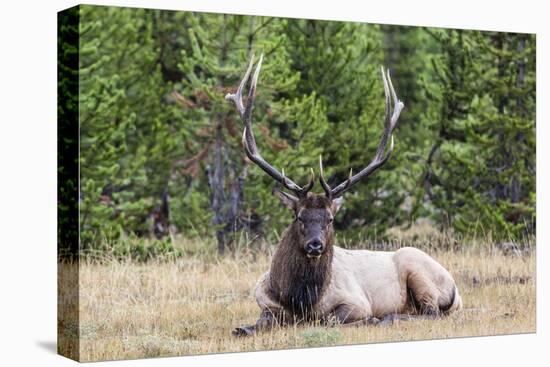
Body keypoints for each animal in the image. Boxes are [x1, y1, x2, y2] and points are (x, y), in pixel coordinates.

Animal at [226, 54, 464, 336]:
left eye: (329, 219)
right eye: (299, 217)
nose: (315, 245)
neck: (299, 301)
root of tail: (456, 290)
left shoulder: (356, 301)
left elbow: (329, 319)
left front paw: (370, 319)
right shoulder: (265, 303)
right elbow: (258, 323)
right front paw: (242, 328)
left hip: (417, 268)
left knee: (431, 312)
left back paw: (388, 317)